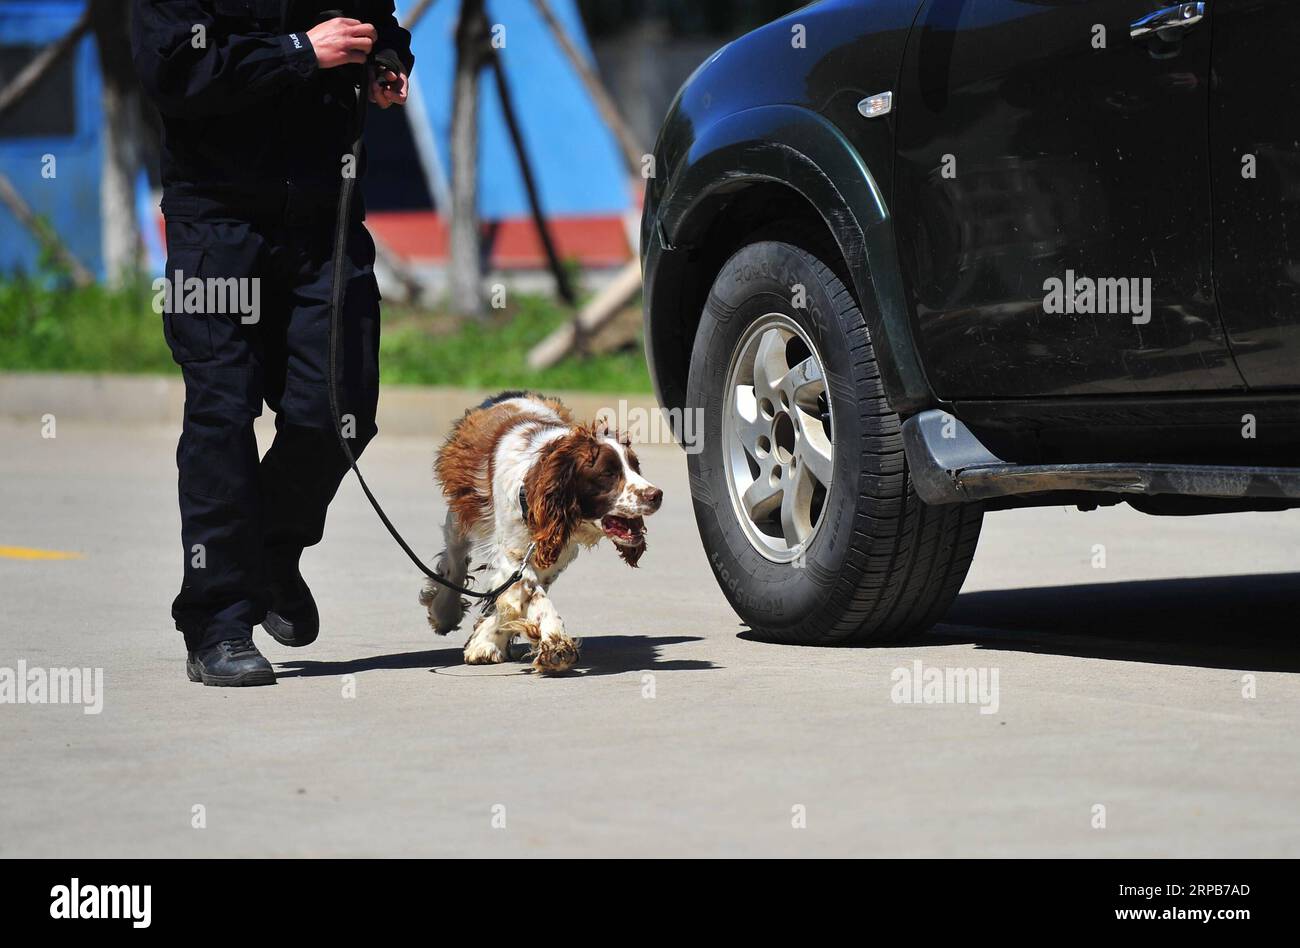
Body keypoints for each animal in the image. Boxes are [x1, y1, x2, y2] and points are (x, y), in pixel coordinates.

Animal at [421, 392, 660, 671]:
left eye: (636, 466)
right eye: (608, 474)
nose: (656, 495)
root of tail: (511, 394)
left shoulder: (549, 557)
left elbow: (514, 598)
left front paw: (485, 642)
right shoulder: (513, 555)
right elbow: (533, 596)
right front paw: (557, 645)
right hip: (462, 512)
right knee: (455, 560)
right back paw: (444, 612)